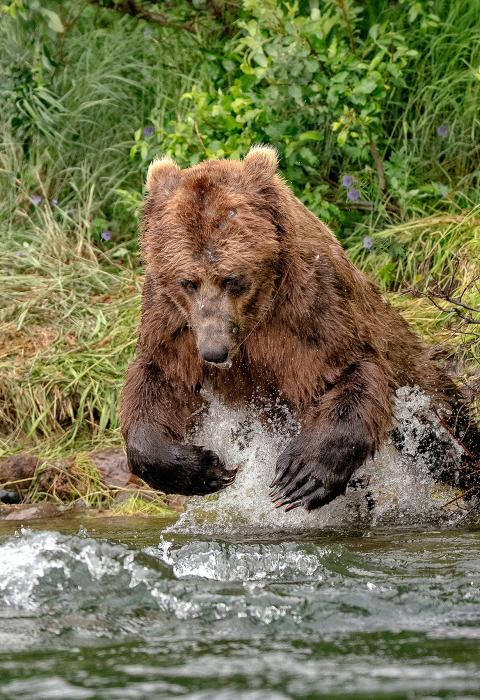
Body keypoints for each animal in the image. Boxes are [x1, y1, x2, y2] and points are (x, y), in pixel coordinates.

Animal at [119, 145, 476, 512]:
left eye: (233, 279)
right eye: (188, 282)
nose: (214, 351)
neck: (255, 319)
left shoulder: (311, 306)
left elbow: (347, 373)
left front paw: (300, 475)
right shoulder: (174, 325)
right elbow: (161, 382)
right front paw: (204, 469)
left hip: (415, 381)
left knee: (447, 438)